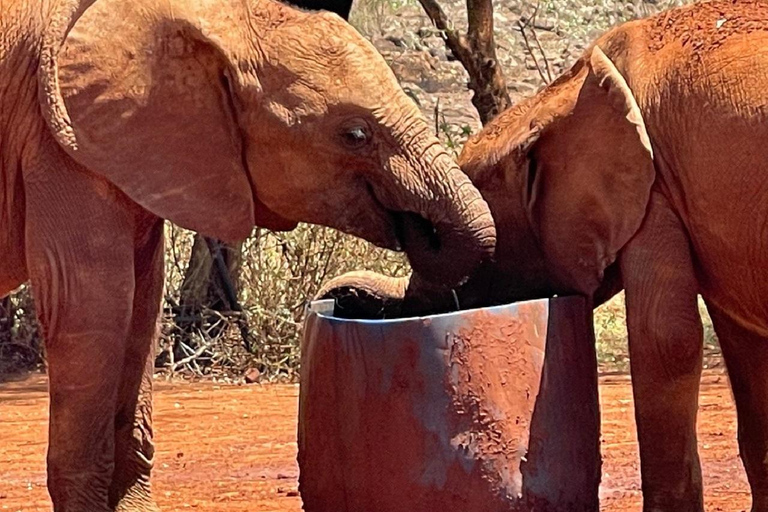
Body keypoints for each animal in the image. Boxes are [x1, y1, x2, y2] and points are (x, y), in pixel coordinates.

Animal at [0, 2, 496, 510]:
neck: (216, 18)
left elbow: (141, 311)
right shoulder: (57, 144)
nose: (416, 225)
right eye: (355, 134)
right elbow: (91, 308)